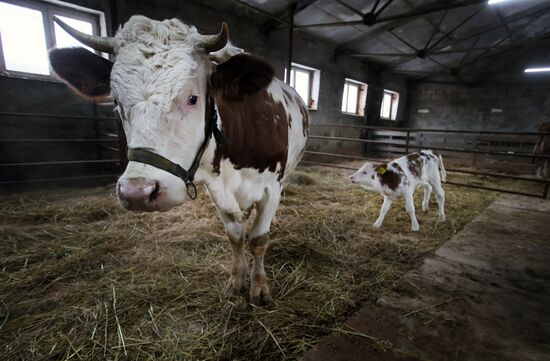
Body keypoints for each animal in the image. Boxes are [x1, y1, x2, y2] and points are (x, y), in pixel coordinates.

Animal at [48, 15, 310, 306]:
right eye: (116, 101)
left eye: (193, 98)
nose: (138, 193)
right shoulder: (217, 190)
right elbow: (235, 235)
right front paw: (237, 280)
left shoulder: (270, 188)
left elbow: (258, 239)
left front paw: (260, 288)